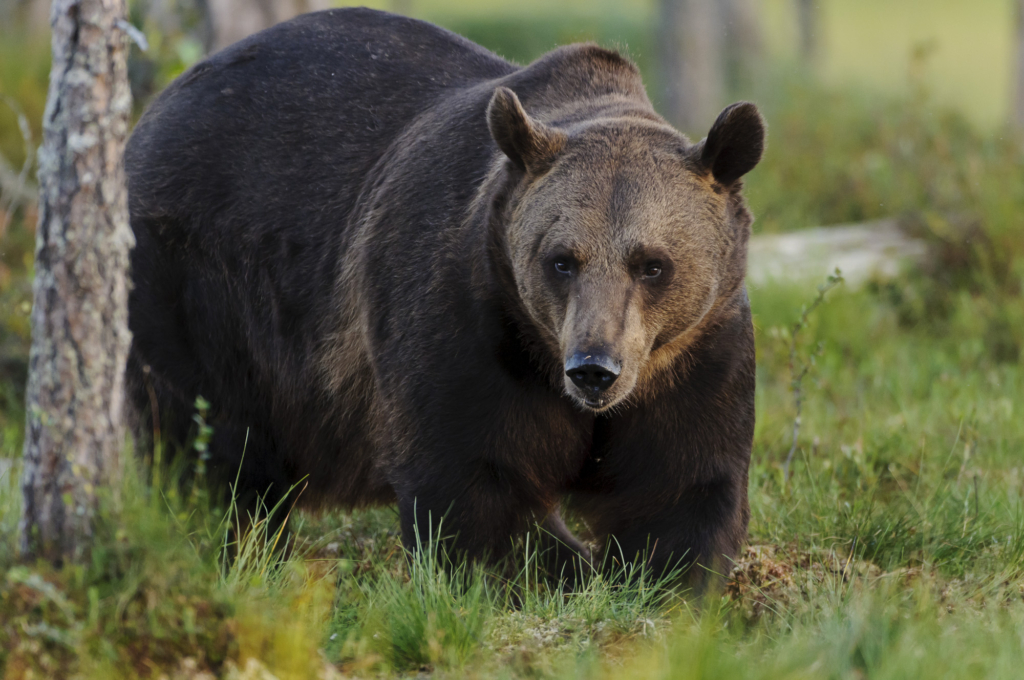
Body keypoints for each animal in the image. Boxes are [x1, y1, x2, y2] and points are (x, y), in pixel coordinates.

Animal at [123, 6, 765, 589]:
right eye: (561, 259)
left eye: (652, 265)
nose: (593, 369)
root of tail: (154, 112)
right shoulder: (466, 320)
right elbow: (473, 487)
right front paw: (556, 569)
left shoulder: (696, 353)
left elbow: (679, 488)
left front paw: (659, 579)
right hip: (202, 285)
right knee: (216, 447)